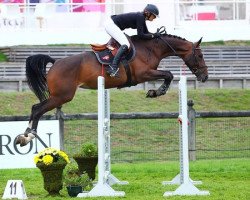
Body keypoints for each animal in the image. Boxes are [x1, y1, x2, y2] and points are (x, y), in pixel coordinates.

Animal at [16, 28, 209, 146]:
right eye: (200, 55)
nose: (205, 77)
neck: (150, 48)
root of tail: (55, 63)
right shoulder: (143, 74)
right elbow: (168, 74)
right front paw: (156, 91)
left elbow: (168, 74)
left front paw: (156, 91)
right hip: (62, 96)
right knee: (37, 109)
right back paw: (28, 135)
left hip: (59, 96)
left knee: (35, 107)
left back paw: (25, 135)